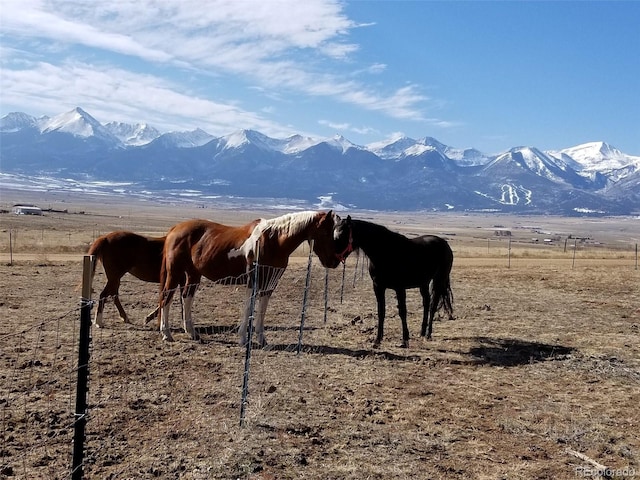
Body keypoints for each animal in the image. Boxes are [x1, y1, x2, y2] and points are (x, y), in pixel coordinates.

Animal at [336, 218, 456, 348]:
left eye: (341, 235)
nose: (334, 258)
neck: (386, 253)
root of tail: (445, 244)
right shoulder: (378, 287)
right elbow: (381, 312)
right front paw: (377, 341)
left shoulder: (399, 288)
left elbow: (402, 312)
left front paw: (405, 340)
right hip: (424, 283)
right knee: (426, 303)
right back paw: (422, 332)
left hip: (439, 280)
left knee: (433, 305)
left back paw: (428, 335)